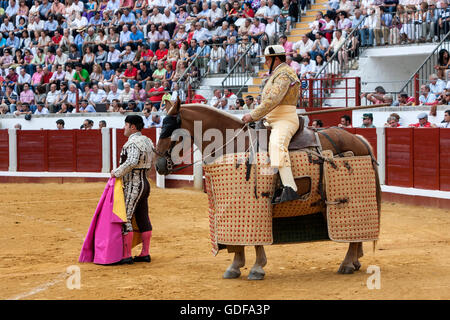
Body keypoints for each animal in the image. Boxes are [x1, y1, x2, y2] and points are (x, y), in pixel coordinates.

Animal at [155, 100, 380, 280]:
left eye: (171, 130)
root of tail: (358, 139)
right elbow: (237, 240)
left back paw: (347, 264)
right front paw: (235, 267)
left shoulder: (253, 204)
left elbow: (256, 240)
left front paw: (256, 268)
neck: (233, 143)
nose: (158, 164)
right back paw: (355, 261)